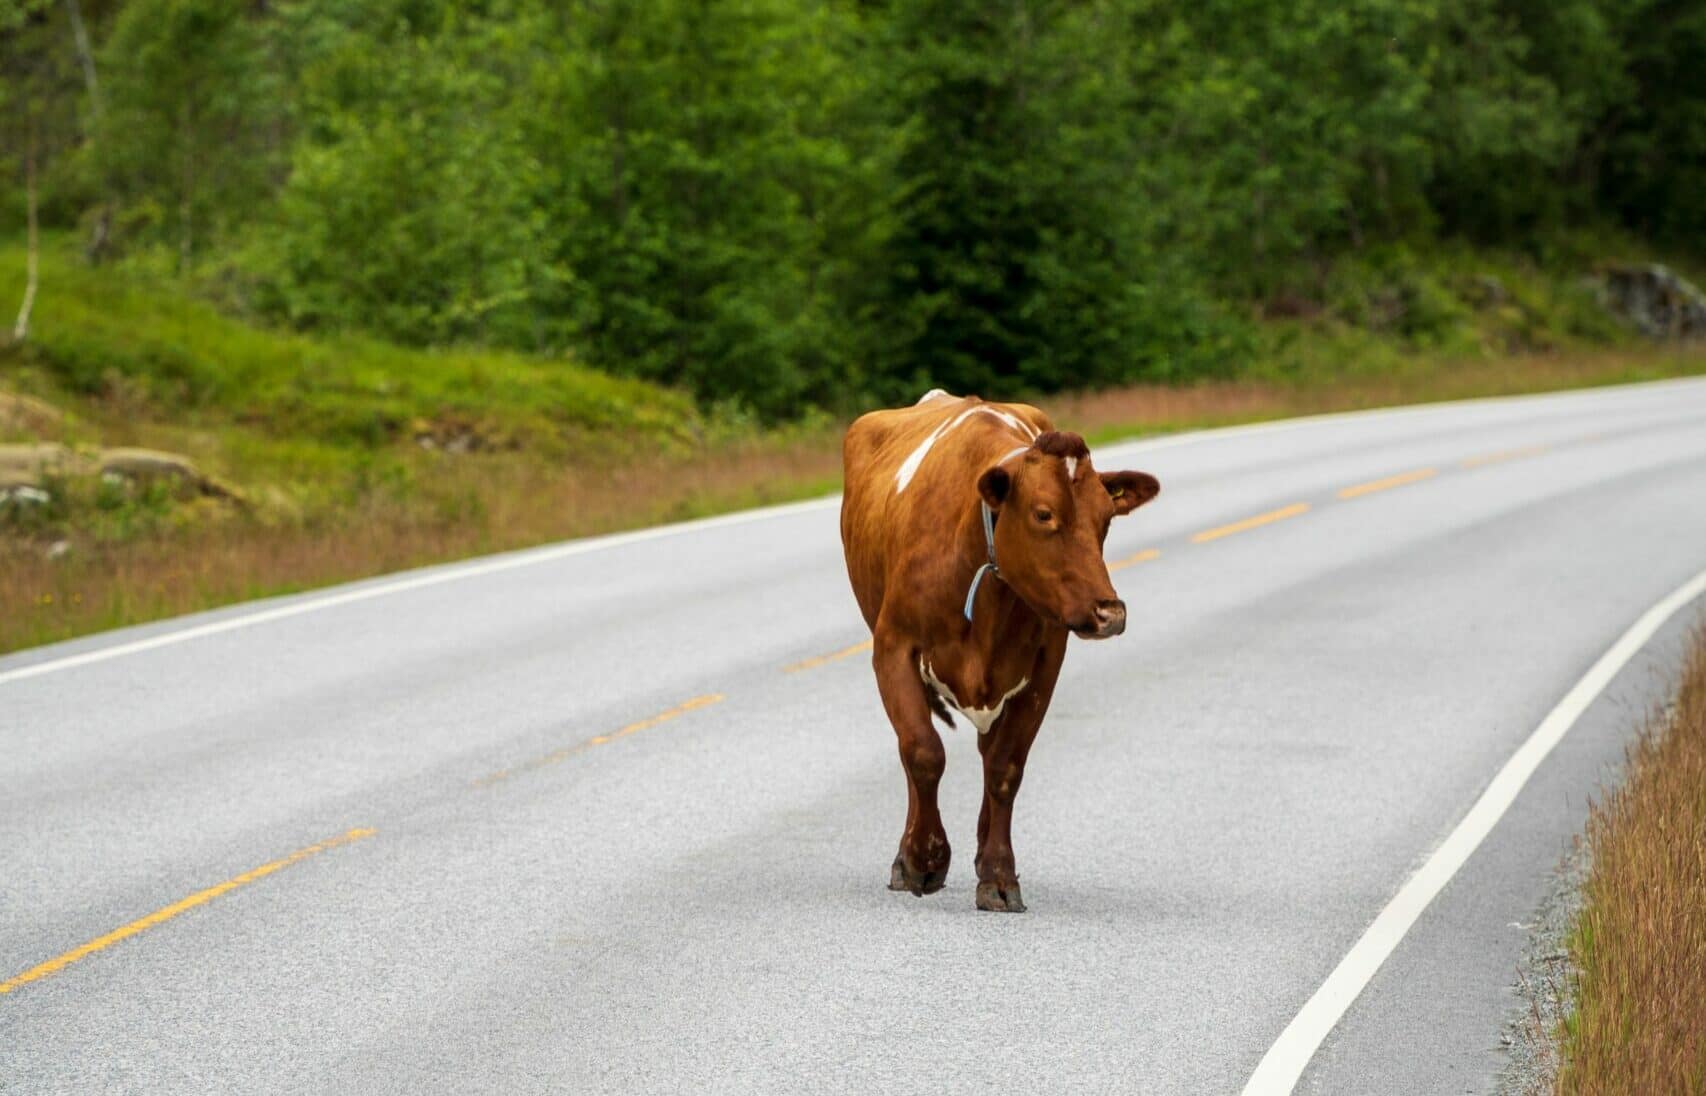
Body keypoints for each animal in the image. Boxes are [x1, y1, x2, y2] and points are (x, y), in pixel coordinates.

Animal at [840, 389, 1160, 912]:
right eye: (1043, 514)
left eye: (1106, 519)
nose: (1109, 612)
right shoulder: (892, 647)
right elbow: (922, 752)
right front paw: (924, 859)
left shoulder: (1044, 667)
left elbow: (1005, 767)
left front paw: (997, 875)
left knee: (989, 755)